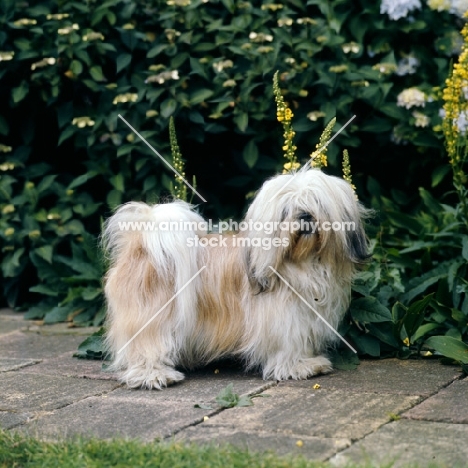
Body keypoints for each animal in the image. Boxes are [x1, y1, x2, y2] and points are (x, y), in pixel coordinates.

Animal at [102, 167, 370, 388]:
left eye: (317, 203)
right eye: (285, 210)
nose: (304, 215)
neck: (303, 264)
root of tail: (141, 243)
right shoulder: (283, 319)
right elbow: (288, 345)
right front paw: (298, 366)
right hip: (151, 315)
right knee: (146, 345)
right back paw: (154, 375)